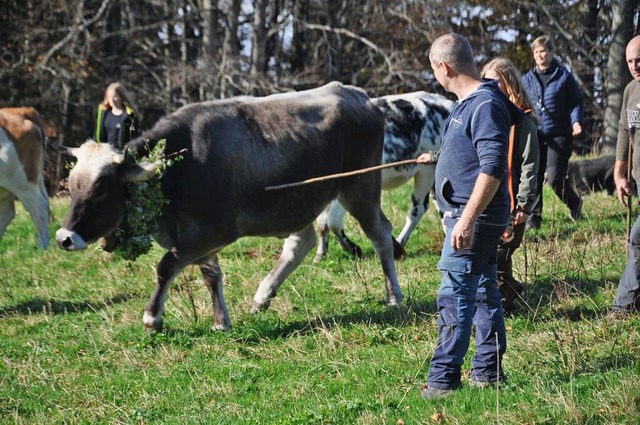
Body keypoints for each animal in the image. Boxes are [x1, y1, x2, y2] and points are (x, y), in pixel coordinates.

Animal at [316, 91, 456, 260]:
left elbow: (333, 221)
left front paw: (352, 248)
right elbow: (322, 223)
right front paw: (321, 253)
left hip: (427, 170)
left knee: (419, 208)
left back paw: (401, 242)